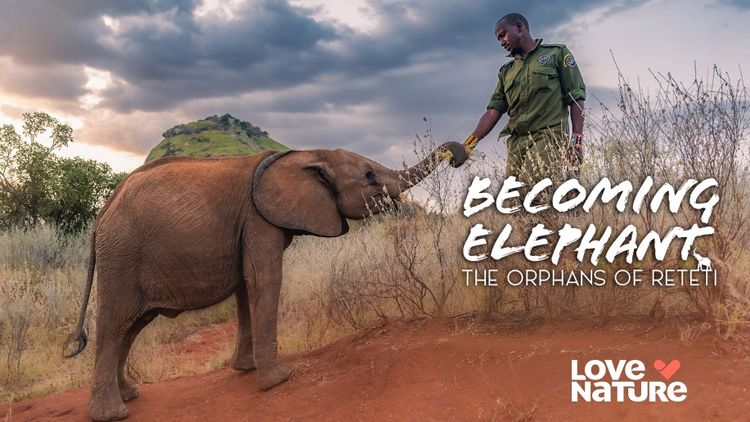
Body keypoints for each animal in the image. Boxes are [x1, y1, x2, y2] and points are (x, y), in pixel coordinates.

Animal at [63, 142, 466, 421]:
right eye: (368, 176)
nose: (458, 156)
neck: (308, 153)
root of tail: (101, 216)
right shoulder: (259, 219)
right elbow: (265, 280)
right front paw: (279, 379)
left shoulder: (249, 226)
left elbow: (247, 287)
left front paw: (246, 370)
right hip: (122, 254)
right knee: (117, 324)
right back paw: (113, 414)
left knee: (132, 327)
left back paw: (130, 395)